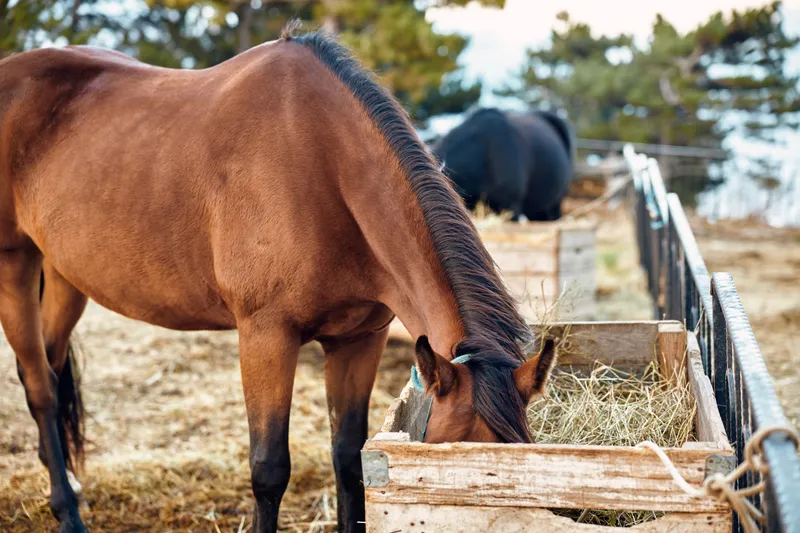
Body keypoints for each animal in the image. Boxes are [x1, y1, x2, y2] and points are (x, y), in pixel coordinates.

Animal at [0, 28, 557, 533]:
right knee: (39, 386)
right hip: (15, 267)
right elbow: (269, 469)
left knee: (52, 369)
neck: (323, 163)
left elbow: (348, 459)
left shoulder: (360, 339)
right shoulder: (265, 337)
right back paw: (68, 513)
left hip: (65, 275)